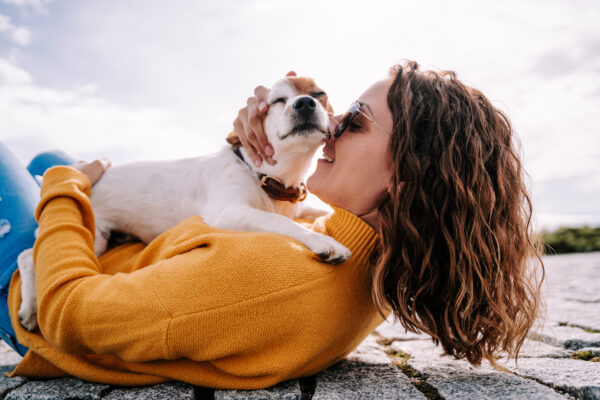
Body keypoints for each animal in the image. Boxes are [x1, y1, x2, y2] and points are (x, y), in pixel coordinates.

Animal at [17, 76, 352, 332]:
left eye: (319, 94)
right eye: (278, 101)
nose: (305, 103)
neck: (267, 177)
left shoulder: (297, 207)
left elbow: (316, 211)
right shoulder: (228, 212)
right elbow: (280, 221)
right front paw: (325, 242)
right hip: (93, 235)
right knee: (27, 255)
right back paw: (30, 308)